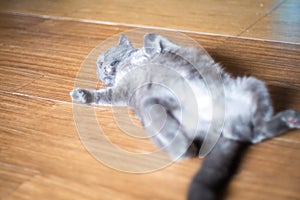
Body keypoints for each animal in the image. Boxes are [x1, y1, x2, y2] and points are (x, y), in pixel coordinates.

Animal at [71, 33, 300, 199]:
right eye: (99, 64)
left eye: (105, 58)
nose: (101, 67)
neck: (127, 65)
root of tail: (219, 129)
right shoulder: (122, 92)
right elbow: (103, 95)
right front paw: (81, 94)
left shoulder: (167, 47)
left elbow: (151, 35)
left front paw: (151, 49)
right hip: (151, 106)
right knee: (250, 134)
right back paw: (184, 148)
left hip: (252, 84)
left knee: (255, 132)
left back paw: (289, 118)